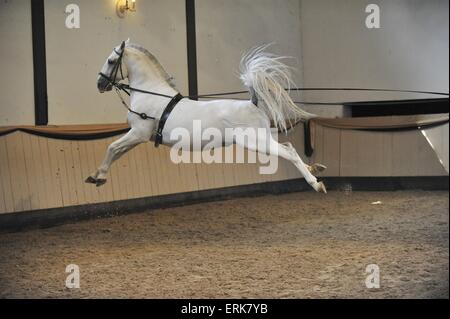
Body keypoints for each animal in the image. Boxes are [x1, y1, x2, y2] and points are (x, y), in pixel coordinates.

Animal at [89, 41, 326, 194]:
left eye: (111, 61)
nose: (100, 84)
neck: (151, 93)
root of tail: (253, 103)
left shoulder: (139, 133)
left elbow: (112, 147)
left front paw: (97, 177)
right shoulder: (138, 137)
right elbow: (116, 152)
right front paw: (99, 176)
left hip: (256, 142)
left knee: (289, 152)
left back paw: (316, 183)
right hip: (264, 139)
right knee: (289, 147)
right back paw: (315, 169)